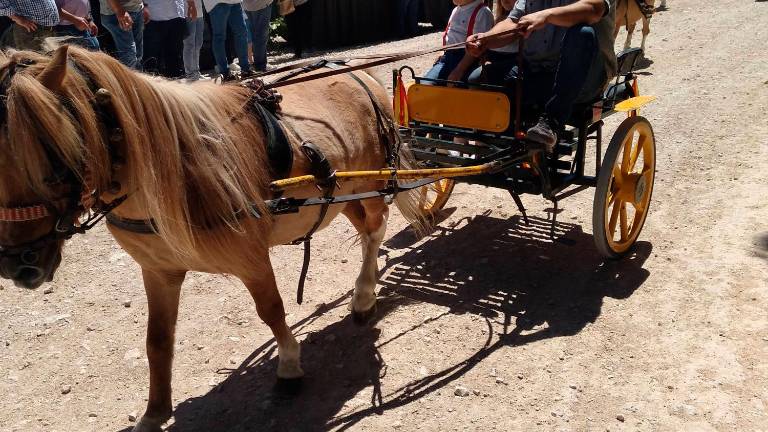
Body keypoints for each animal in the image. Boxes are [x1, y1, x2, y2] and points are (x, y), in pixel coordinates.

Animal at [0, 46, 424, 432]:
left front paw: (289, 364)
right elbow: (157, 340)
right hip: (341, 193)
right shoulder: (159, 270)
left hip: (369, 183)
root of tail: (357, 72)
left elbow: (271, 311)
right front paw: (154, 412)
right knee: (367, 229)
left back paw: (364, 295)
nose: (17, 264)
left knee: (376, 229)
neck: (173, 174)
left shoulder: (251, 259)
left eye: (54, 163)